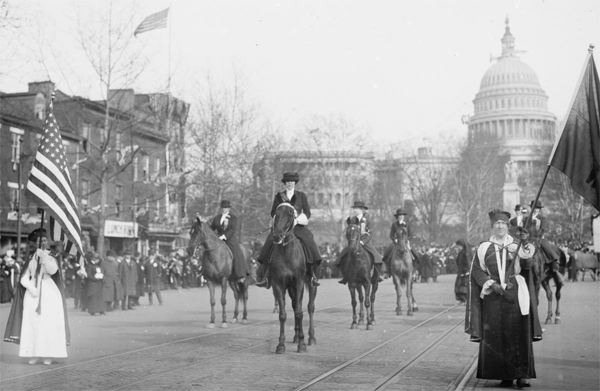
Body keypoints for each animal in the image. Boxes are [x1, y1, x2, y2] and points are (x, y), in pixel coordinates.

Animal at [268, 202, 316, 356]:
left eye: (290, 214)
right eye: (276, 214)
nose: (277, 235)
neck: (286, 252)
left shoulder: (299, 283)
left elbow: (300, 313)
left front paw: (302, 344)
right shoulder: (278, 285)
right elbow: (283, 314)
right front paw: (281, 345)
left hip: (311, 284)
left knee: (310, 307)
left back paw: (311, 337)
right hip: (291, 289)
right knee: (295, 306)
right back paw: (295, 336)